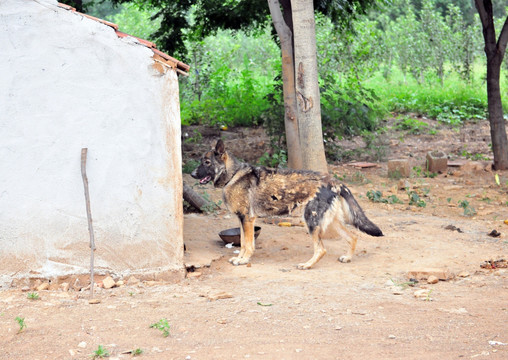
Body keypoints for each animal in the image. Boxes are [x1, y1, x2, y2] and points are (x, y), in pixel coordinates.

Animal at [192, 139, 382, 268]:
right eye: (201, 161)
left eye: (207, 163)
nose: (192, 174)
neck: (233, 175)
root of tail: (334, 181)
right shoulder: (242, 221)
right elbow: (244, 242)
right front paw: (240, 258)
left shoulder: (247, 220)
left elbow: (248, 245)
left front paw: (243, 260)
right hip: (331, 223)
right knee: (353, 237)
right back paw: (347, 258)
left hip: (311, 221)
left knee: (321, 249)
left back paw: (307, 265)